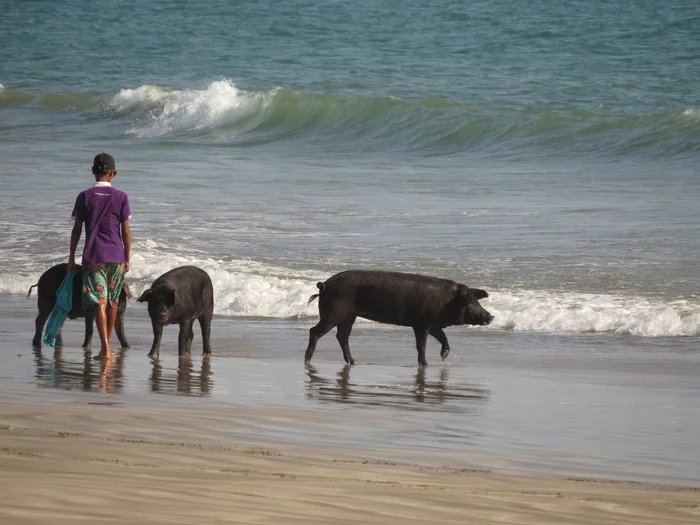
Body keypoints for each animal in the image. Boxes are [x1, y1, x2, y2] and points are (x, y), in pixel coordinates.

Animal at [304, 268, 492, 366]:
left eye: (477, 302)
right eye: (470, 303)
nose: (491, 316)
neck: (446, 301)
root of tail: (324, 285)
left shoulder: (430, 323)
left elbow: (442, 336)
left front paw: (444, 356)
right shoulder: (421, 323)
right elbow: (421, 345)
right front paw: (426, 365)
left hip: (349, 317)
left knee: (342, 336)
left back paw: (354, 362)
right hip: (333, 314)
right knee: (315, 331)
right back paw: (308, 360)